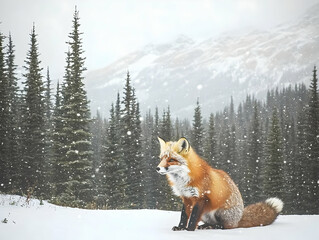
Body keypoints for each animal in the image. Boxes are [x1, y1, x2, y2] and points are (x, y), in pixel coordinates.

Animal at [156, 137, 284, 231]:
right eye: (162, 158)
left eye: (171, 160)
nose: (157, 168)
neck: (184, 180)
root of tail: (239, 217)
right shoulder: (186, 198)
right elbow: (184, 216)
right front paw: (181, 228)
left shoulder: (201, 198)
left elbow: (193, 217)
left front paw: (189, 230)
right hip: (206, 215)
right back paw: (205, 226)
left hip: (220, 212)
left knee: (226, 226)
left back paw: (214, 226)